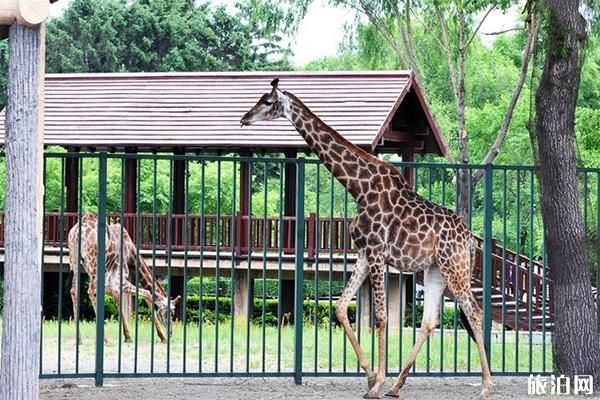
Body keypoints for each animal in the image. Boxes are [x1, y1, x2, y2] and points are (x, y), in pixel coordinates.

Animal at [67, 216, 180, 344]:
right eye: (170, 312)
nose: (170, 332)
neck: (131, 254)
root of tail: (76, 232)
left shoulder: (111, 286)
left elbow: (120, 302)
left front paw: (127, 336)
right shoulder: (120, 280)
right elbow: (148, 294)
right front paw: (162, 337)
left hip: (74, 260)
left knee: (74, 291)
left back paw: (79, 338)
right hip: (93, 264)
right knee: (90, 291)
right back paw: (105, 339)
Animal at [239, 79, 492, 398]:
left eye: (268, 101)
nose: (244, 118)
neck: (358, 188)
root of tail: (469, 238)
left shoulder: (376, 252)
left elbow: (380, 317)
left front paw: (377, 382)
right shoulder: (362, 252)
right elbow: (339, 306)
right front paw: (372, 376)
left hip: (454, 266)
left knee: (474, 312)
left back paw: (486, 385)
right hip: (435, 269)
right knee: (429, 322)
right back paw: (397, 385)